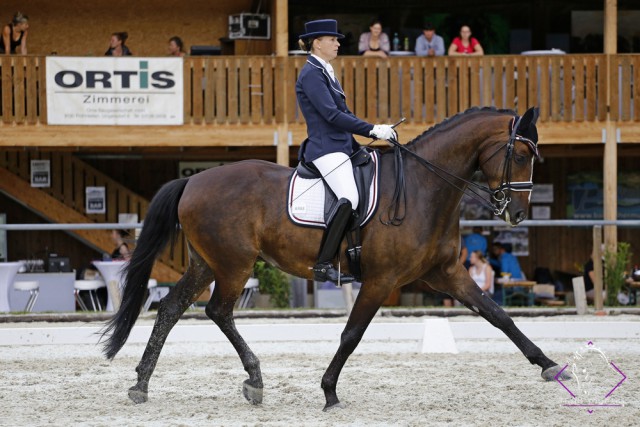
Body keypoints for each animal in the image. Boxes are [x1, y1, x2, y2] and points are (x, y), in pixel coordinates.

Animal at [102, 106, 568, 412]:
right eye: (520, 155)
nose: (517, 214)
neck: (424, 187)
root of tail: (194, 180)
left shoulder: (448, 274)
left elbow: (499, 316)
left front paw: (548, 365)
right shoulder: (381, 280)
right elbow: (352, 334)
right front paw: (329, 392)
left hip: (206, 263)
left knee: (170, 308)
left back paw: (142, 384)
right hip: (234, 264)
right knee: (217, 310)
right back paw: (254, 379)